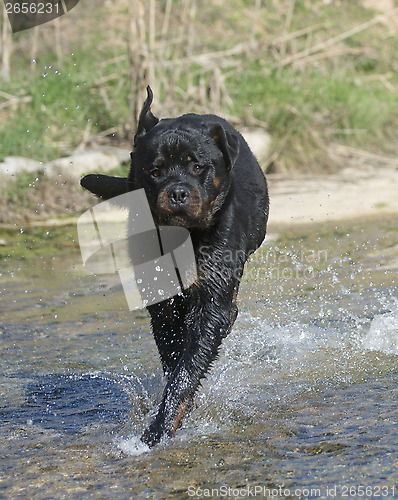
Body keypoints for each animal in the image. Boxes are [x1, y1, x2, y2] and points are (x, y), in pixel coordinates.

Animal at [81, 86, 268, 446]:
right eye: (154, 171)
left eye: (197, 166)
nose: (178, 192)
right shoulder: (162, 302)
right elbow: (173, 353)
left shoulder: (213, 297)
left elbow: (188, 366)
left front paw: (160, 428)